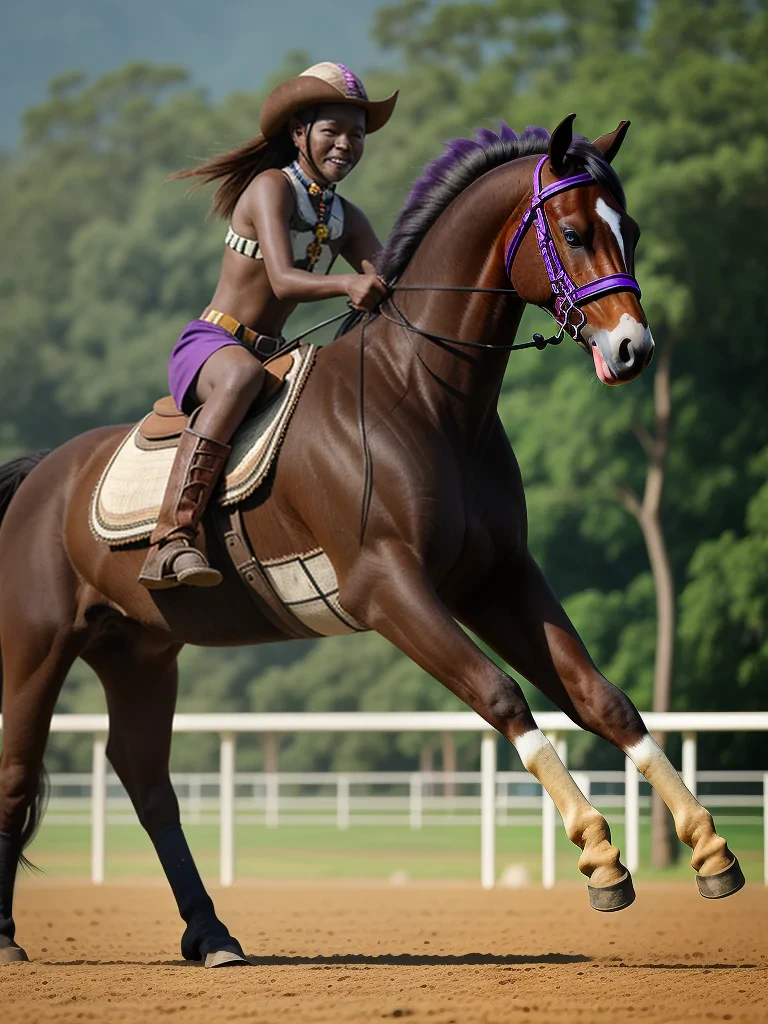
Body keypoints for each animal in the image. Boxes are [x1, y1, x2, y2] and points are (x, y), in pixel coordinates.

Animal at [0, 115, 743, 968]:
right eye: (575, 231)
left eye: (635, 231)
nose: (633, 349)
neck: (422, 397)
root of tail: (37, 476)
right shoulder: (387, 588)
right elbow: (501, 696)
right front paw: (598, 855)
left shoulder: (498, 580)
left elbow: (603, 700)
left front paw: (709, 848)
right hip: (37, 650)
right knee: (17, 775)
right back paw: (10, 939)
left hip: (141, 655)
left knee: (148, 785)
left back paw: (213, 934)